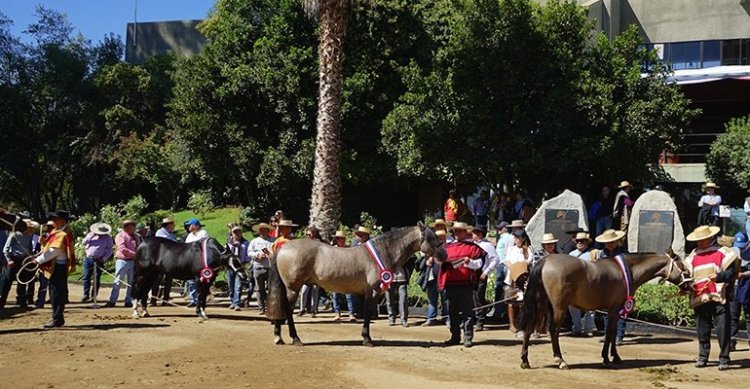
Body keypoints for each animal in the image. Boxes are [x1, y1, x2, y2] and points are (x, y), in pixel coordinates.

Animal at [268, 221, 446, 346]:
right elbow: (367, 315)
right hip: (293, 288)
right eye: (432, 237)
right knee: (288, 310)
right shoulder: (372, 292)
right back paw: (295, 338)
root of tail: (283, 248)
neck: (382, 252)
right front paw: (367, 339)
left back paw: (278, 337)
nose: (443, 254)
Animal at [520, 252, 692, 366]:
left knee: (529, 327)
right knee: (553, 330)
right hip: (559, 307)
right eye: (682, 266)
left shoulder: (614, 311)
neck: (627, 271)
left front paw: (614, 356)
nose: (690, 285)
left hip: (541, 304)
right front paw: (606, 357)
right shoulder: (615, 310)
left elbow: (613, 333)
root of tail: (545, 260)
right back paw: (560, 360)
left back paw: (525, 360)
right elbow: (610, 334)